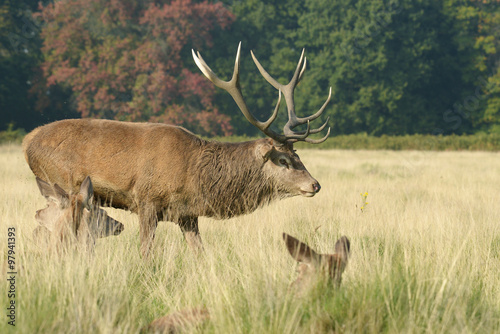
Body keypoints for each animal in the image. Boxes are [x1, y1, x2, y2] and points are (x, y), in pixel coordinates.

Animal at [24, 43, 336, 258]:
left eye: (298, 156)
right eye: (283, 160)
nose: (315, 184)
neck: (195, 177)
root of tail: (28, 142)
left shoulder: (186, 214)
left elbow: (200, 254)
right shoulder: (146, 200)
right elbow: (145, 254)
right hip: (62, 186)